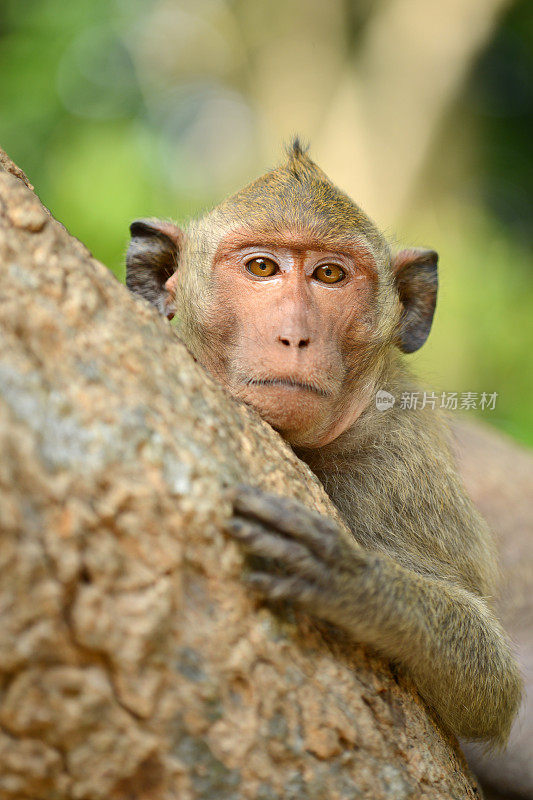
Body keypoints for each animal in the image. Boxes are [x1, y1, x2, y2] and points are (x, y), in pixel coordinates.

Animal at [123, 141, 520, 760]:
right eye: (262, 268)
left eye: (329, 274)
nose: (295, 334)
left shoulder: (399, 470)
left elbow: (492, 685)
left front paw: (350, 578)